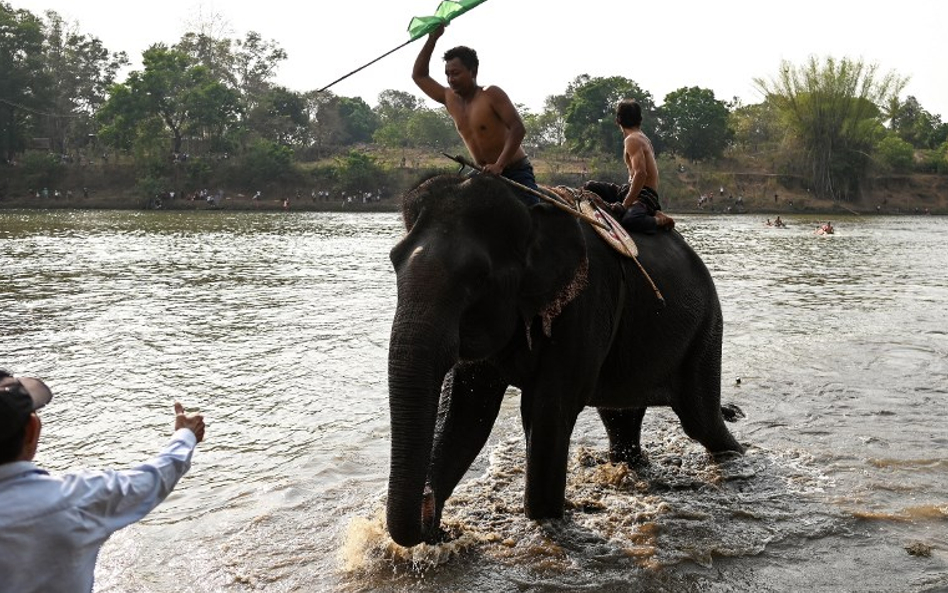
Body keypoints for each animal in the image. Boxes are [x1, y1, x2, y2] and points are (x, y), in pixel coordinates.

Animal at [384, 172, 740, 544]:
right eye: (393, 260)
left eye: (479, 277)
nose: (435, 524)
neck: (531, 211)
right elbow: (465, 414)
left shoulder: (585, 302)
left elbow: (546, 410)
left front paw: (544, 521)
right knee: (620, 418)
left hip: (706, 328)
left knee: (700, 420)